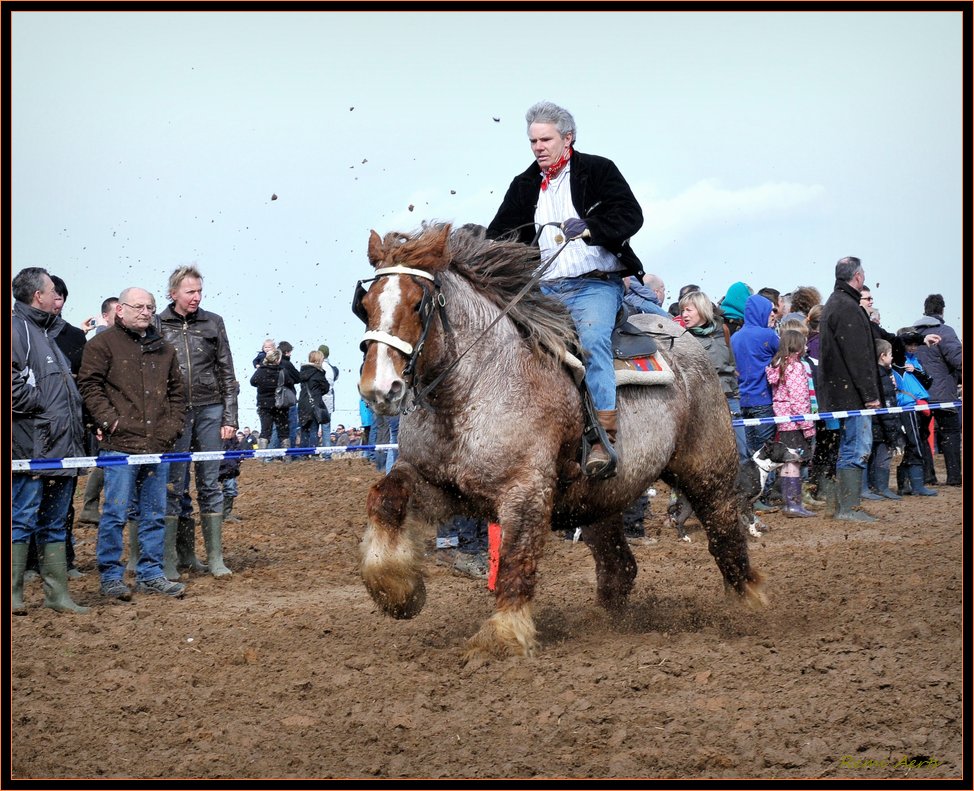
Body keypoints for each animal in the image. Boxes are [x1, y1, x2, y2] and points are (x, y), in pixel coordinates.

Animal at [354, 224, 768, 664]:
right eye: (366, 304)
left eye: (418, 304)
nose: (380, 388)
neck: (474, 387)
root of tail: (685, 338)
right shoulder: (441, 485)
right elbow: (384, 497)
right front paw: (396, 588)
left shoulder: (526, 493)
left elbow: (516, 559)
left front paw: (503, 634)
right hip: (600, 500)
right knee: (620, 567)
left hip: (707, 471)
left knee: (724, 533)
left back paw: (749, 603)